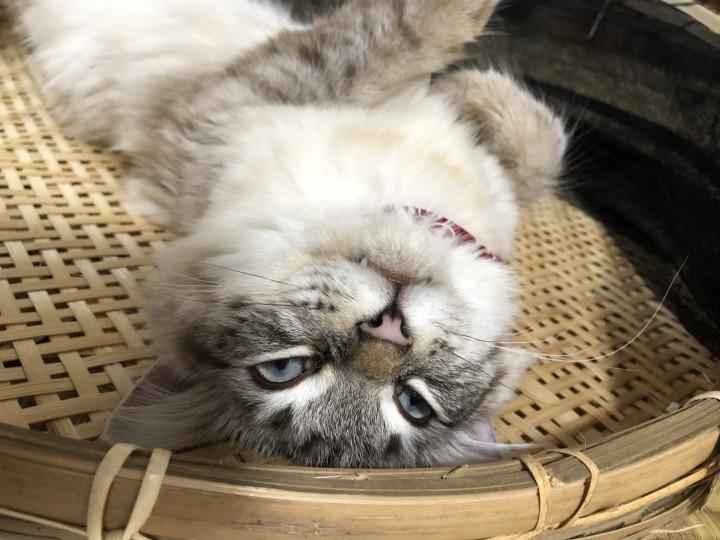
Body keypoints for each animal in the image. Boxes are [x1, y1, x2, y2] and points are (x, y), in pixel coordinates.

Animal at [17, 0, 567, 467]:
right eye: (285, 371)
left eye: (413, 402)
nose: (389, 328)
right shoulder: (236, 98)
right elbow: (400, 35)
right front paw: (464, 71)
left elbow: (540, 150)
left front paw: (469, 91)